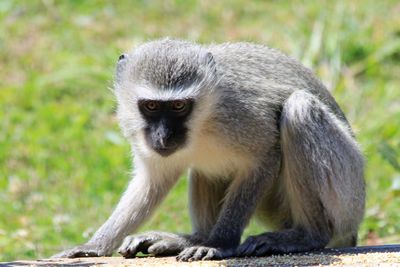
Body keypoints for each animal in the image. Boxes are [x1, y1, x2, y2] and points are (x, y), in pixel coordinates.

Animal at [54, 38, 366, 262]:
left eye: (179, 106)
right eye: (151, 106)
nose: (163, 136)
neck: (204, 117)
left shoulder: (243, 116)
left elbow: (264, 156)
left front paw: (219, 244)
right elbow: (153, 180)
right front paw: (95, 245)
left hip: (346, 194)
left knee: (299, 107)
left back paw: (308, 235)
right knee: (207, 168)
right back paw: (193, 238)